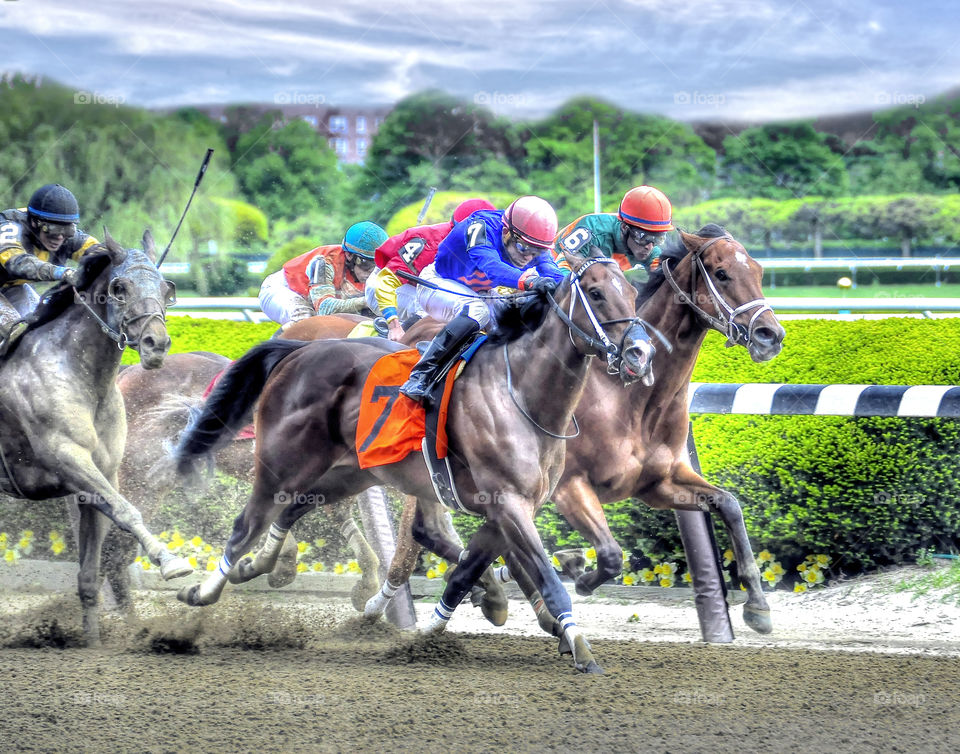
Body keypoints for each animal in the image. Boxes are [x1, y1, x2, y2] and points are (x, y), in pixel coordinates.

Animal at [0, 228, 193, 640]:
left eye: (166, 287)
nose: (156, 343)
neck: (81, 376)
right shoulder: (68, 458)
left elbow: (91, 572)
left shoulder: (99, 476)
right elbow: (126, 511)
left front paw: (92, 640)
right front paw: (170, 561)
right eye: (120, 287)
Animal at [172, 250, 652, 672]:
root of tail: (295, 351)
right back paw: (202, 595)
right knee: (246, 525)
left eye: (632, 290)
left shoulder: (508, 509)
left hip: (350, 473)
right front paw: (582, 648)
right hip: (282, 463)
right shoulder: (508, 503)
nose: (640, 354)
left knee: (290, 511)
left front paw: (430, 635)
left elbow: (465, 572)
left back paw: (258, 567)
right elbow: (545, 580)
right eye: (595, 292)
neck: (521, 395)